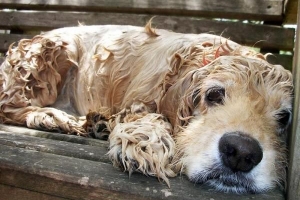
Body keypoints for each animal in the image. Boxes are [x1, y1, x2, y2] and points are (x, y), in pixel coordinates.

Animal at [0, 21, 292, 194]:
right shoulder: (141, 96)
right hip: (54, 51)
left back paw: (95, 121)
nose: (241, 153)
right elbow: (143, 114)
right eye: (214, 94)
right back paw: (52, 117)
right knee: (9, 107)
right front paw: (147, 142)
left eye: (284, 117)